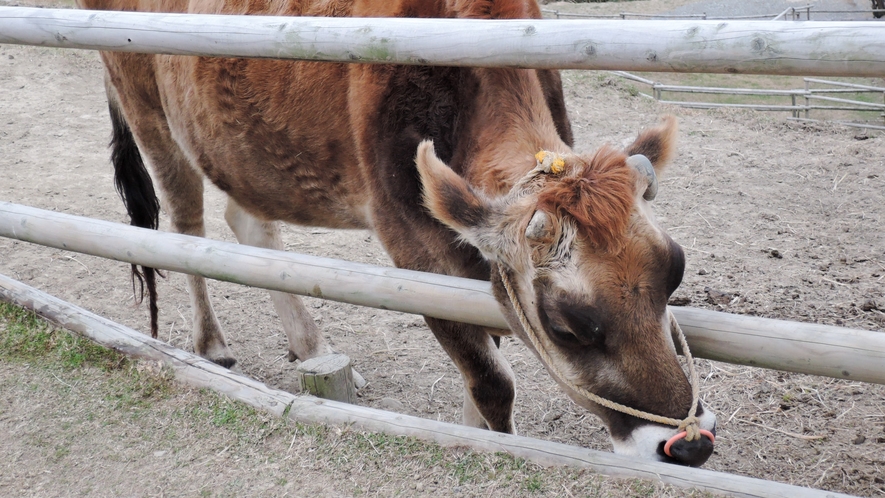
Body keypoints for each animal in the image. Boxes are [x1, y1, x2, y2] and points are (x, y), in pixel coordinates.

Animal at [72, 0, 716, 466]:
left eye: (675, 270)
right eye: (565, 324)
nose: (689, 444)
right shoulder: (409, 241)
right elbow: (491, 380)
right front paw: (498, 447)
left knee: (246, 220)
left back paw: (312, 348)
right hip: (146, 108)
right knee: (185, 226)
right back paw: (212, 345)